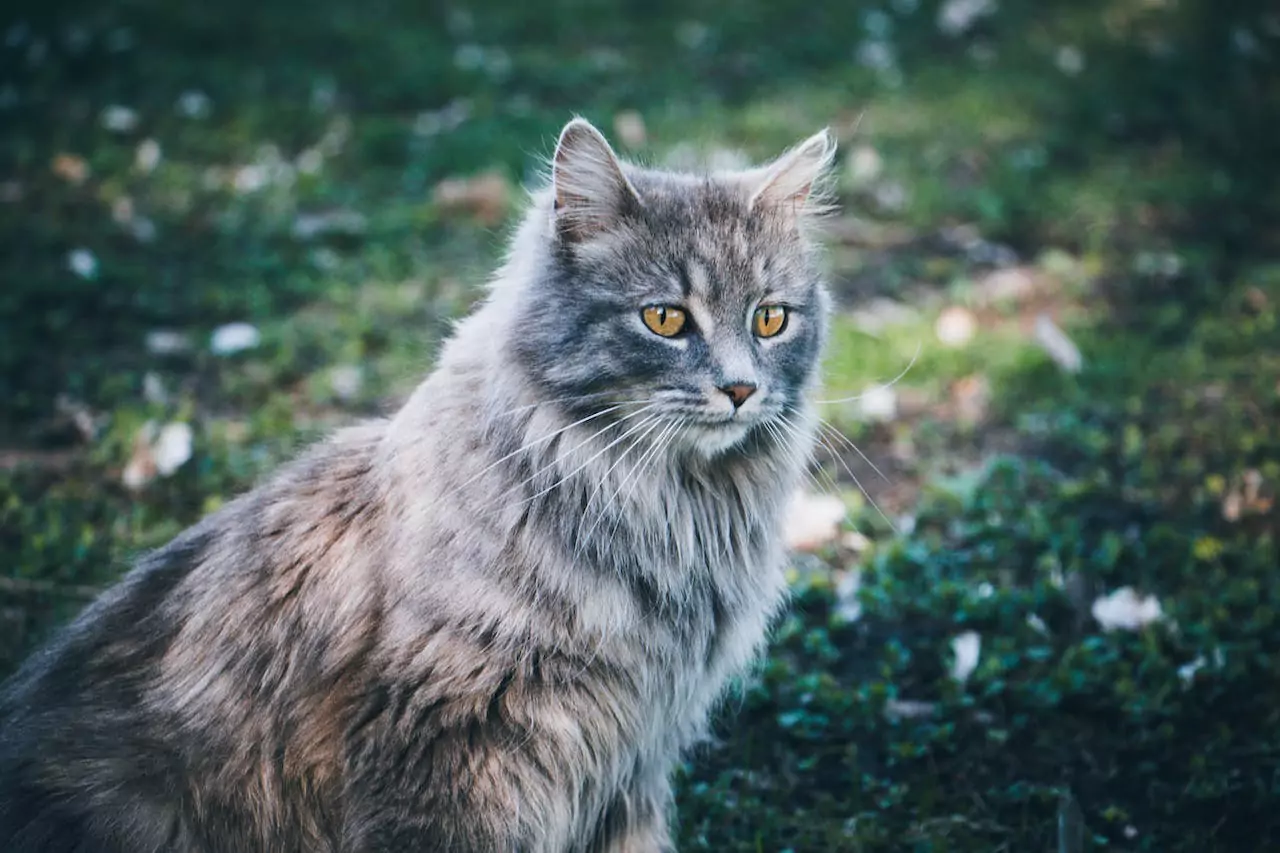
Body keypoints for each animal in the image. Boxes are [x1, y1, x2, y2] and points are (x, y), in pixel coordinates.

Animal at [0, 117, 834, 850]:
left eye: (769, 320)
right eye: (664, 318)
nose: (740, 389)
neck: (666, 511)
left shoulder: (631, 765)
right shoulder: (453, 745)